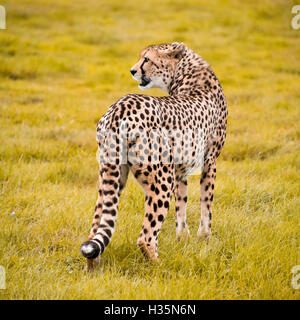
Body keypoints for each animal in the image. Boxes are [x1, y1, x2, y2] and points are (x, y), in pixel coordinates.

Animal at [80, 41, 227, 268]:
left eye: (146, 59)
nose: (132, 70)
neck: (186, 72)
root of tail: (120, 107)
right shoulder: (209, 161)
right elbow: (206, 203)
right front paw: (205, 237)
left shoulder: (180, 169)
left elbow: (181, 205)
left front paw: (182, 239)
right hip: (161, 180)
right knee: (146, 237)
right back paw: (161, 266)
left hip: (111, 177)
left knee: (95, 230)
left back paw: (92, 269)